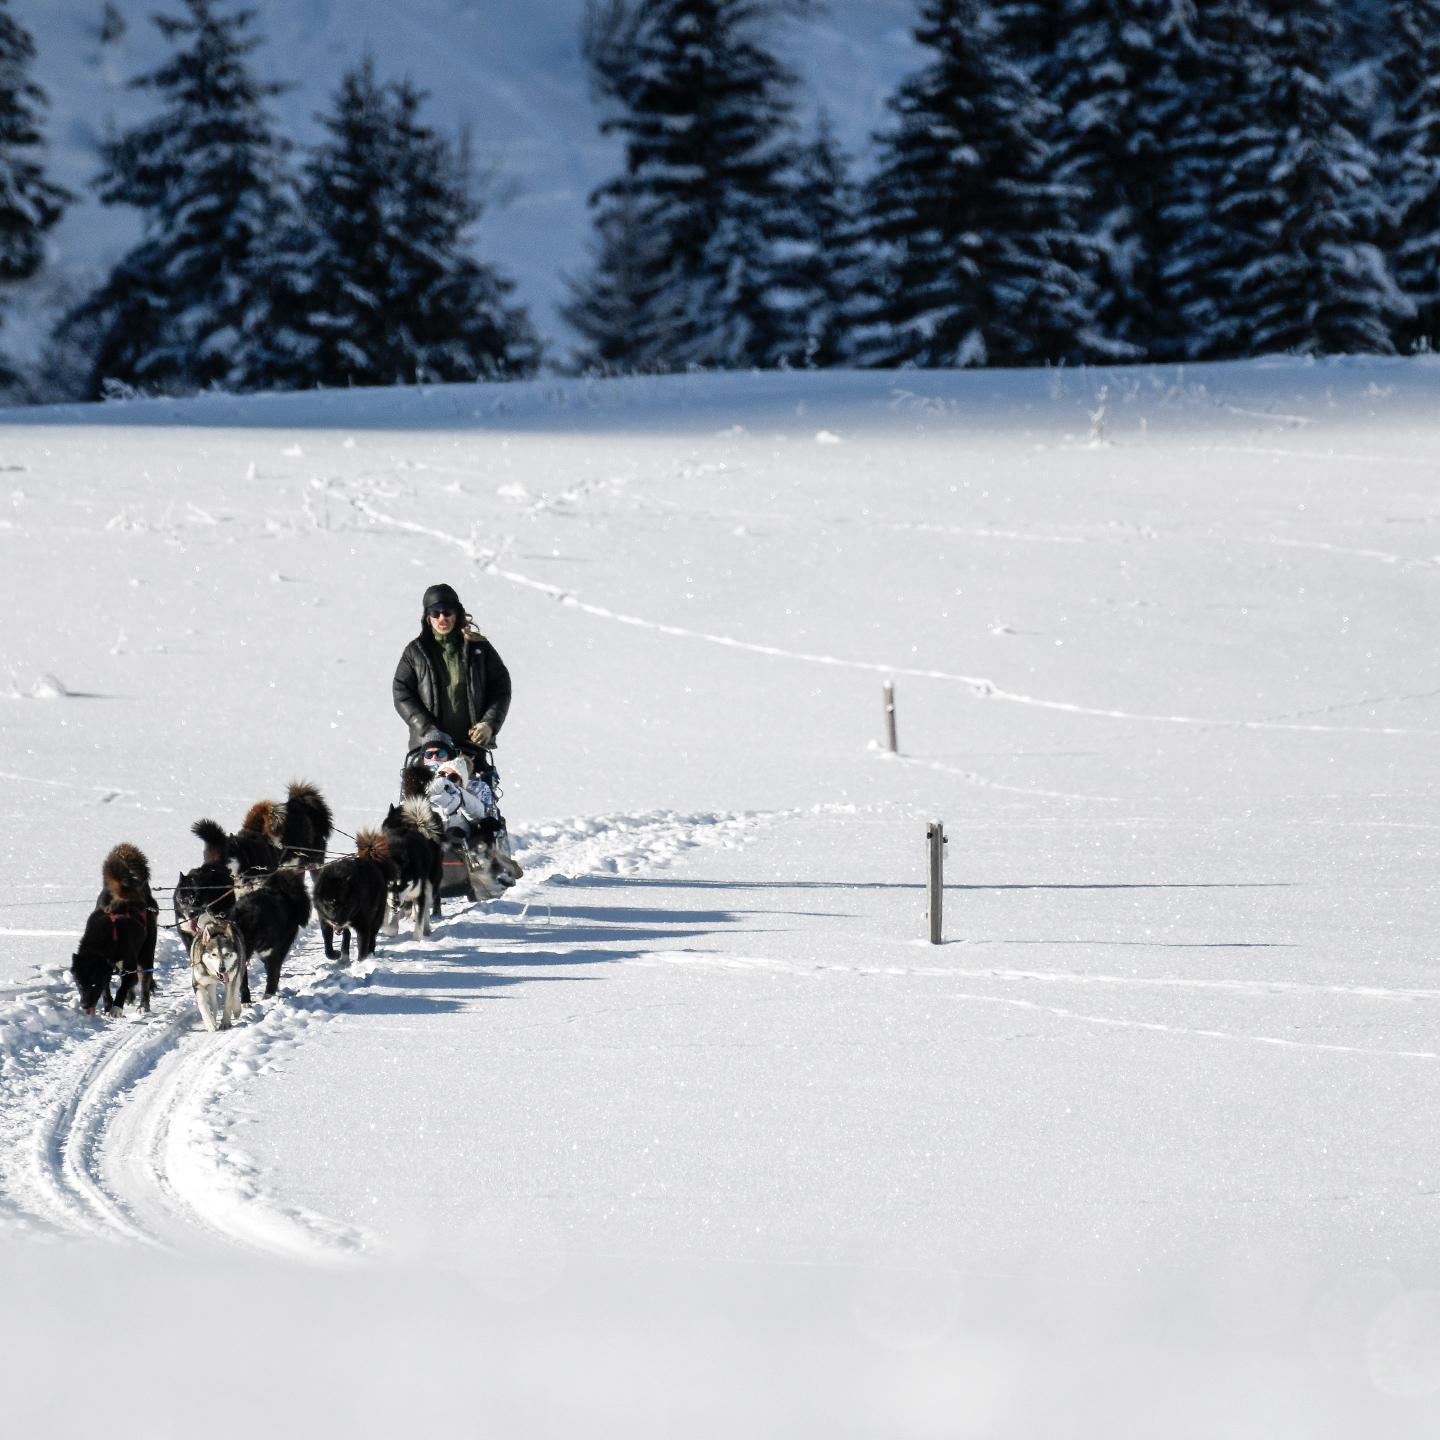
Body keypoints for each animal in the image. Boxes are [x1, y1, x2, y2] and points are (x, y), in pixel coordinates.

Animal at [70, 840, 157, 1013]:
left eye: (93, 984)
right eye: (79, 984)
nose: (84, 1005)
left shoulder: (129, 964)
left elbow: (124, 986)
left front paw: (117, 1007)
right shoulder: (107, 970)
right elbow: (106, 987)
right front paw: (108, 1004)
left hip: (146, 952)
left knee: (144, 978)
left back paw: (143, 1004)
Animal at [231, 864, 311, 1002]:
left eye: (250, 939)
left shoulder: (273, 952)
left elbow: (273, 975)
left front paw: (268, 997)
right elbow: (243, 982)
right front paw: (246, 1001)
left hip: (282, 946)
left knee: (275, 970)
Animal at [313, 829, 394, 961]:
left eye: (346, 906)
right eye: (331, 904)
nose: (339, 923)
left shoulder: (363, 925)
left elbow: (362, 947)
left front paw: (362, 963)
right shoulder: (325, 921)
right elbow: (328, 946)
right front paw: (335, 954)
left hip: (376, 917)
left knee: (372, 936)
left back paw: (370, 953)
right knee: (347, 934)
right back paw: (344, 954)